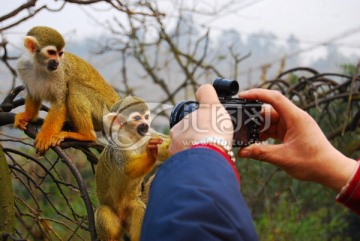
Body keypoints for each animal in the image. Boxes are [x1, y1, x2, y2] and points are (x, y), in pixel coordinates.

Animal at [14, 25, 119, 154]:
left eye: (60, 54)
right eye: (51, 52)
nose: (57, 61)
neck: (40, 66)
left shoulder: (60, 73)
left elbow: (60, 102)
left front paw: (46, 135)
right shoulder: (23, 65)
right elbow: (33, 94)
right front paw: (26, 116)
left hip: (104, 111)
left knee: (74, 87)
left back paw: (86, 136)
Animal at [94, 96, 170, 241]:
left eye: (146, 117)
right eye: (137, 118)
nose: (145, 124)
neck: (134, 136)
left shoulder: (149, 134)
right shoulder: (120, 140)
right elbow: (128, 168)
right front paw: (151, 154)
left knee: (139, 209)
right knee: (103, 212)